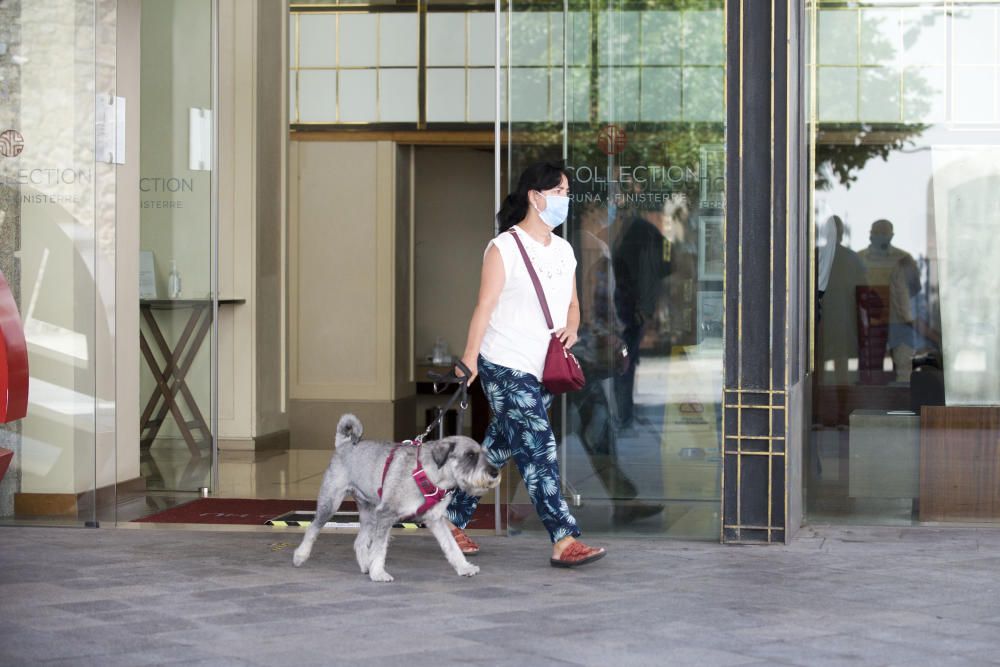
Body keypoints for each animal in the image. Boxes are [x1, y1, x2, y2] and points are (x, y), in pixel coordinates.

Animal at [294, 414, 500, 580]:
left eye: (484, 454)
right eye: (470, 455)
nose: (495, 472)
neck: (432, 473)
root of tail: (343, 445)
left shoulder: (435, 519)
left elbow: (451, 545)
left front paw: (465, 567)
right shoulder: (386, 515)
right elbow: (379, 548)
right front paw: (379, 573)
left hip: (369, 513)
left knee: (359, 541)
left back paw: (366, 566)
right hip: (331, 504)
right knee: (313, 527)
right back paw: (300, 555)